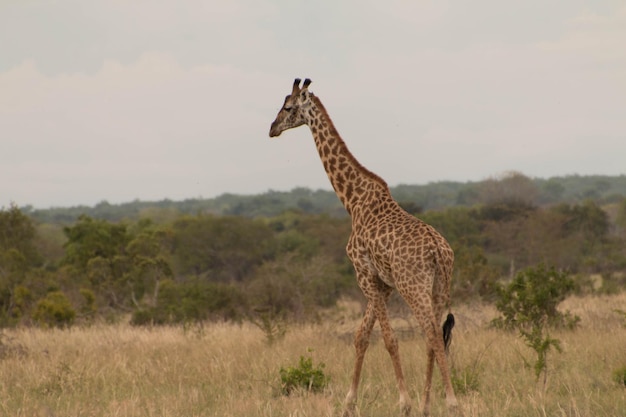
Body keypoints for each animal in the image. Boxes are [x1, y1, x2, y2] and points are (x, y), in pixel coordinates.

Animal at [266, 79, 458, 416]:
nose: (272, 128)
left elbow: (389, 339)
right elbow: (361, 337)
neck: (352, 201)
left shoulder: (364, 274)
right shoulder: (382, 282)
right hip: (438, 287)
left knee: (433, 334)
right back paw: (427, 404)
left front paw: (403, 402)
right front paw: (349, 401)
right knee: (433, 337)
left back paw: (450, 401)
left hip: (414, 286)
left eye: (288, 107)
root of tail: (439, 251)